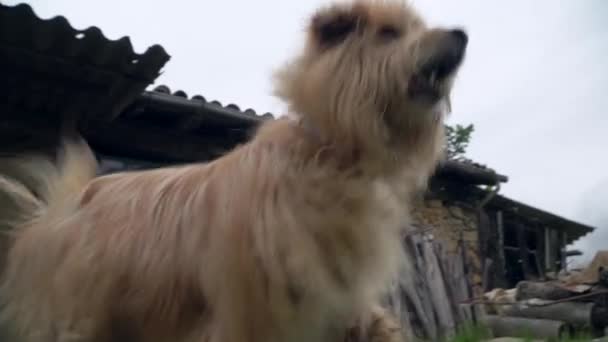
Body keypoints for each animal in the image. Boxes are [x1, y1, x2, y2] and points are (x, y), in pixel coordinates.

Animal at [0, 1, 468, 340]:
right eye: (390, 33)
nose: (462, 36)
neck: (328, 153)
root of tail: (60, 209)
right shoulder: (254, 309)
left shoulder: (333, 295)